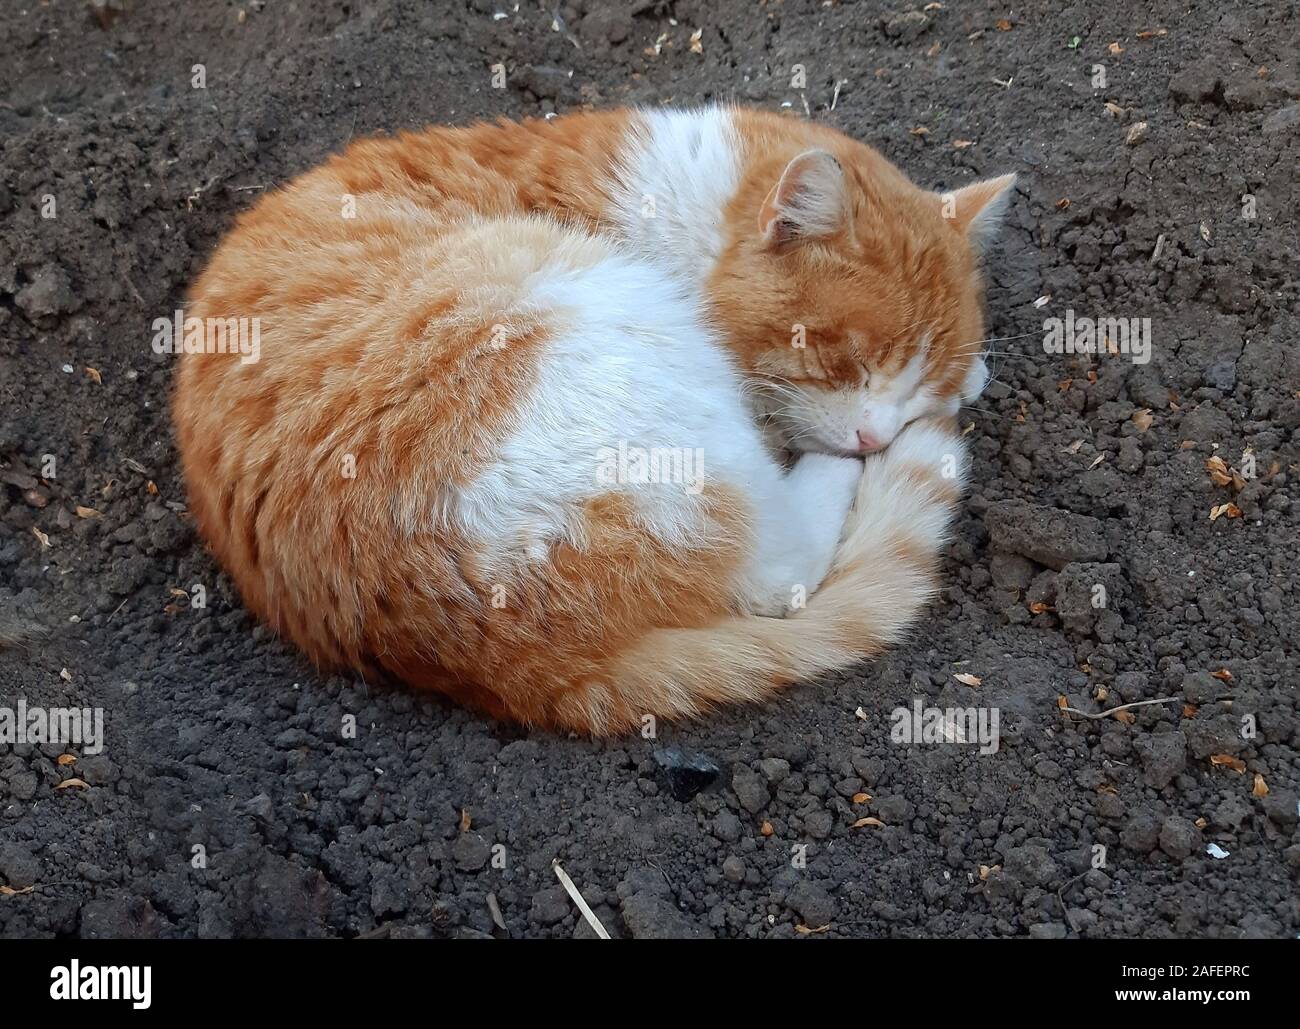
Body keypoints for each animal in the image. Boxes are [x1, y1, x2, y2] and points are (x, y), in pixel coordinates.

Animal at [170, 104, 1013, 732]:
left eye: (919, 380)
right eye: (846, 363)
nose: (880, 432)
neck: (679, 212)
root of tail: (508, 662)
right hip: (597, 327)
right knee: (780, 572)